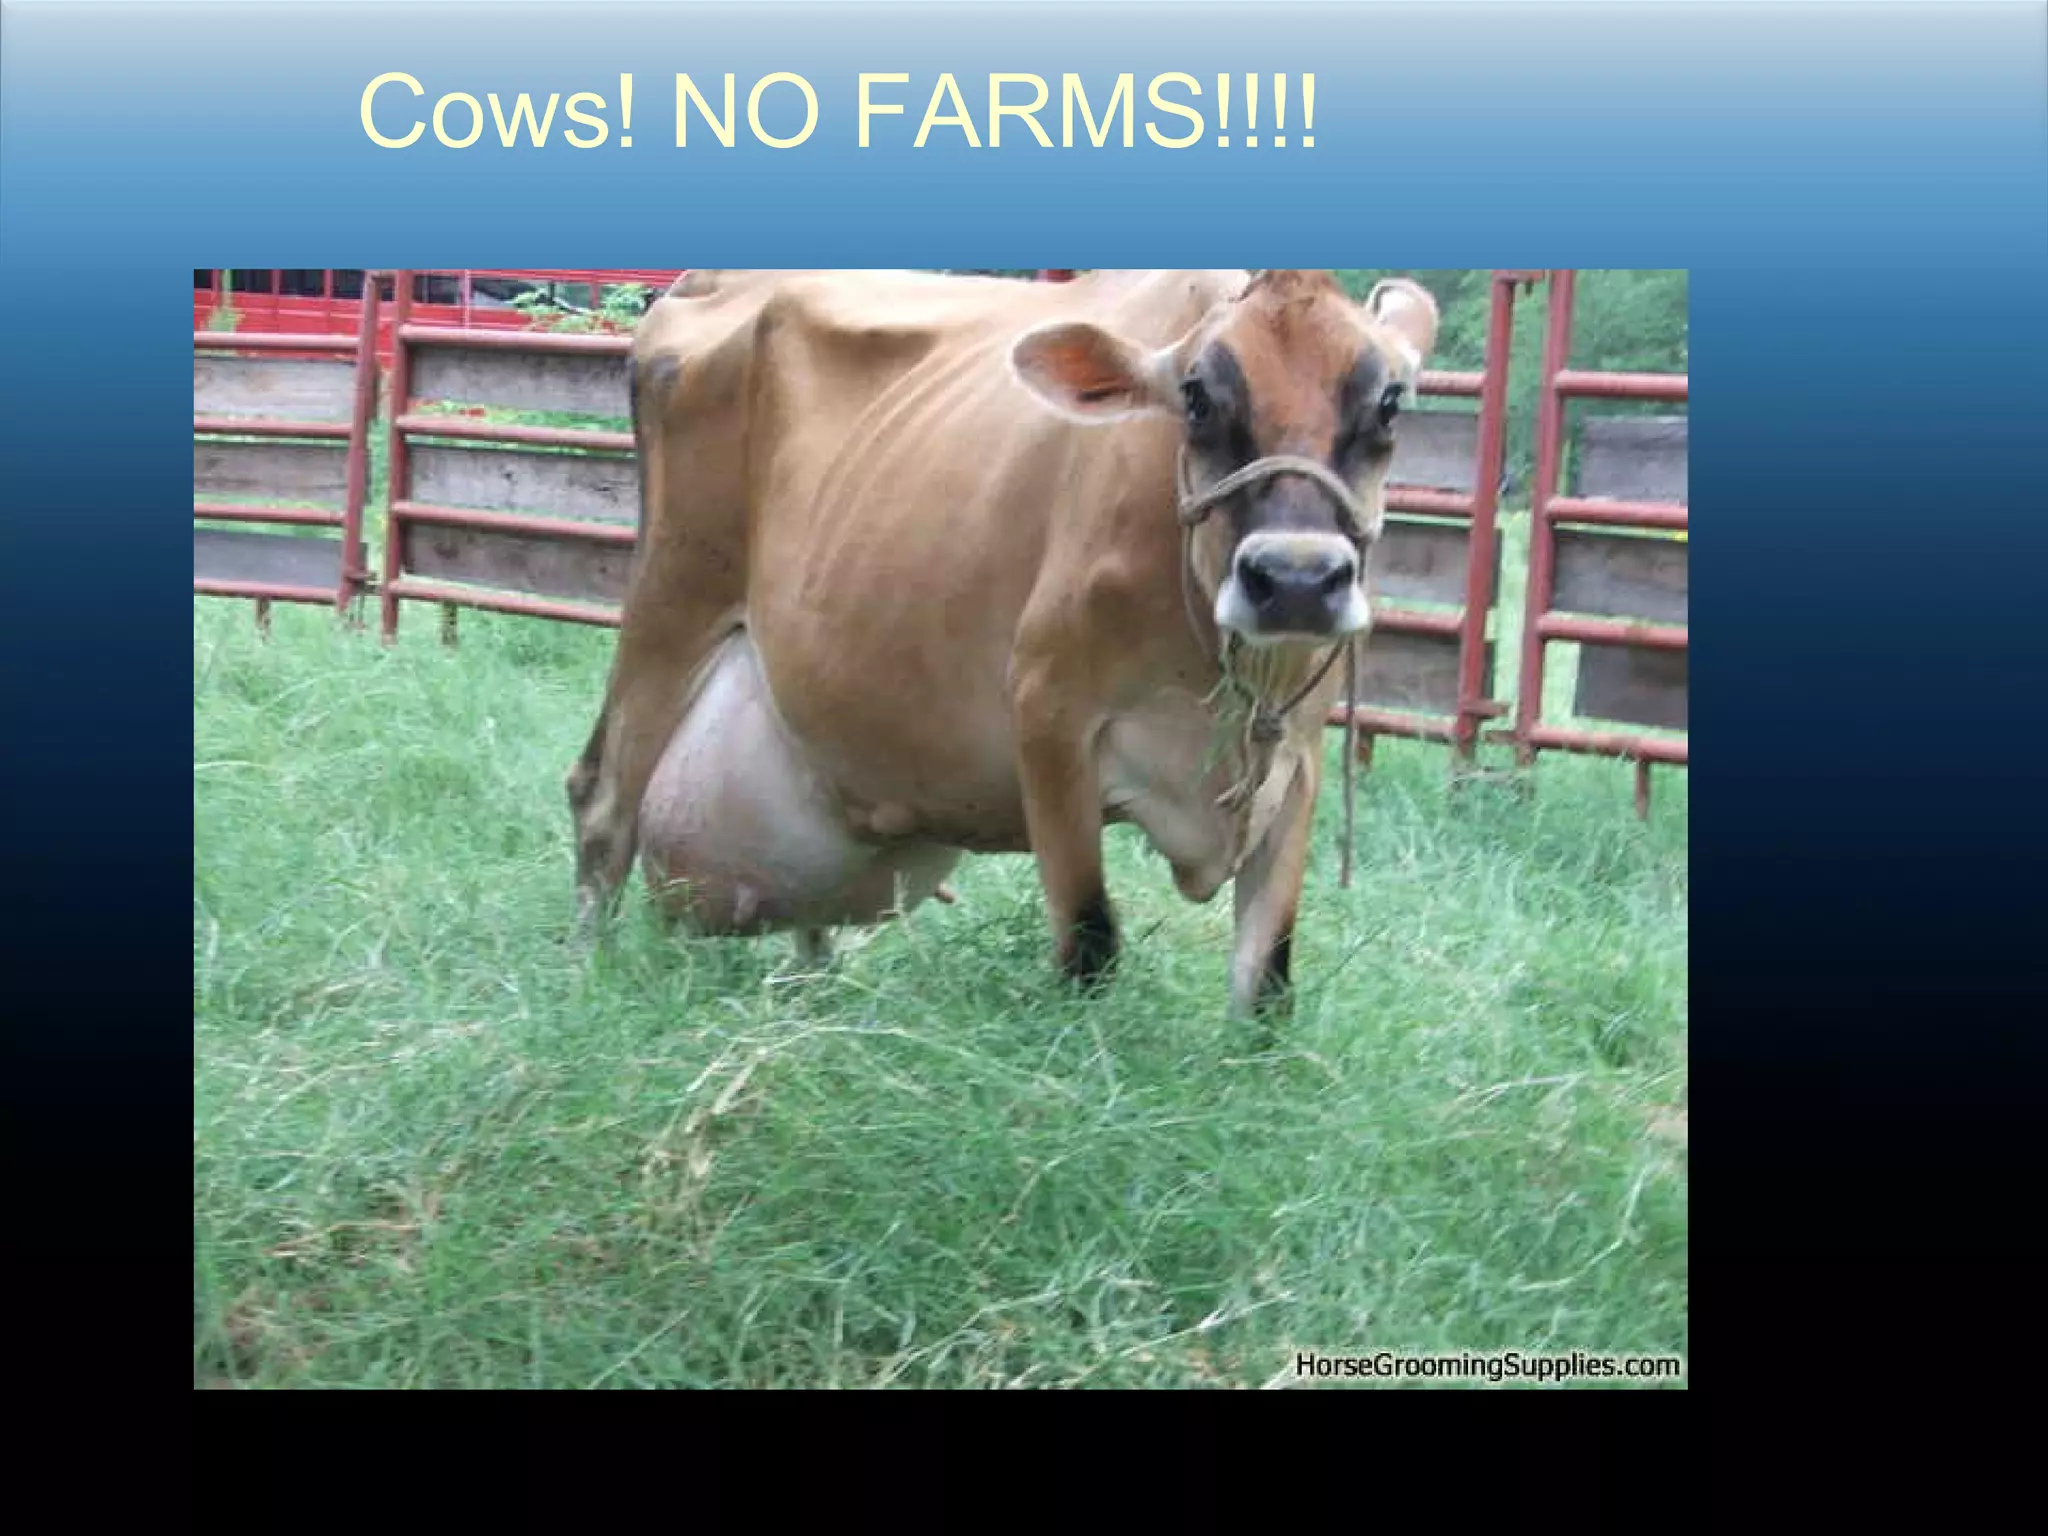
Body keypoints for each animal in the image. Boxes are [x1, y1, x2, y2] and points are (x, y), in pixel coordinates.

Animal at [565, 269, 1440, 1015]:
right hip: (671, 598)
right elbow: (1089, 943)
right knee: (602, 803)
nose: (1296, 578)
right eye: (1195, 397)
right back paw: (589, 974)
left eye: (1390, 404)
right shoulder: (1049, 717)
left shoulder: (1297, 755)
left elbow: (1267, 980)